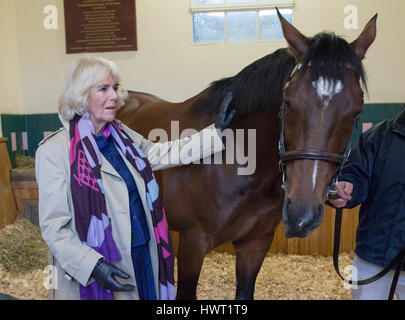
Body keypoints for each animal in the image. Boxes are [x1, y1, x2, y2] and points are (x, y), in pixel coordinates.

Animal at [116, 10, 376, 300]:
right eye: (288, 102)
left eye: (356, 112)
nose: (302, 214)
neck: (237, 161)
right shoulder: (193, 242)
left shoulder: (255, 243)